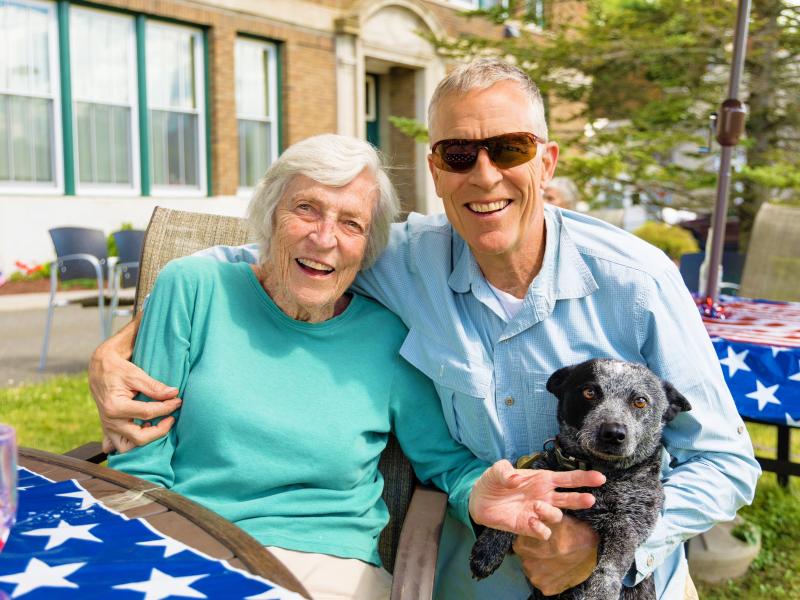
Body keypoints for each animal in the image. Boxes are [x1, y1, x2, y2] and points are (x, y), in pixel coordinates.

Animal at [472, 358, 692, 596]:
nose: (613, 433)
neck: (597, 472)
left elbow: (609, 567)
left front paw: (600, 592)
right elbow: (518, 506)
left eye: (640, 401)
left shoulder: (629, 524)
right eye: (589, 392)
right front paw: (489, 547)